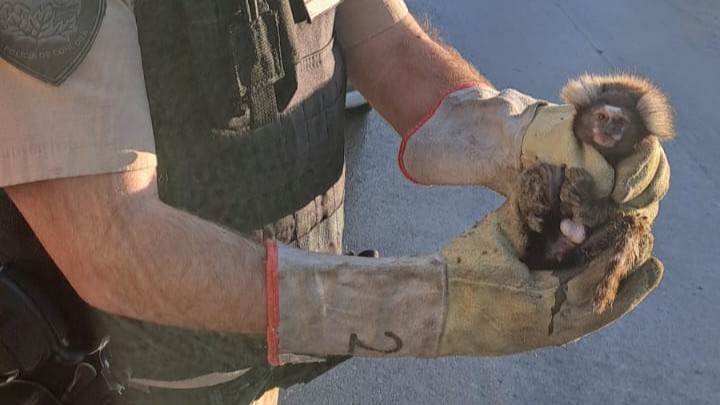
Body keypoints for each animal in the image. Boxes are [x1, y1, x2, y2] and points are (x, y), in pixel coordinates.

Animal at [516, 73, 674, 314]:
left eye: (621, 122)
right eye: (601, 116)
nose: (608, 128)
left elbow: (622, 211)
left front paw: (586, 201)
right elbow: (536, 172)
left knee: (631, 230)